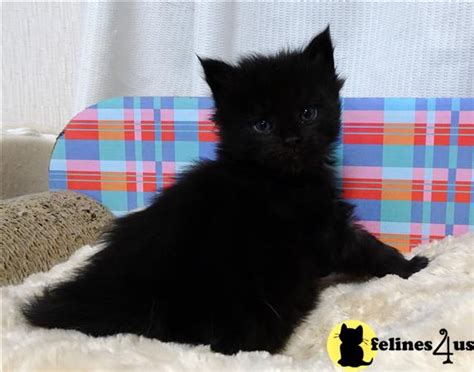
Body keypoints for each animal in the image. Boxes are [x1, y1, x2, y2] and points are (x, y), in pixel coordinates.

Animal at [23, 28, 430, 354]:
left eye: (308, 113)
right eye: (262, 125)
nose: (292, 140)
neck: (279, 178)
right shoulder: (326, 228)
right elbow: (368, 249)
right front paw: (412, 265)